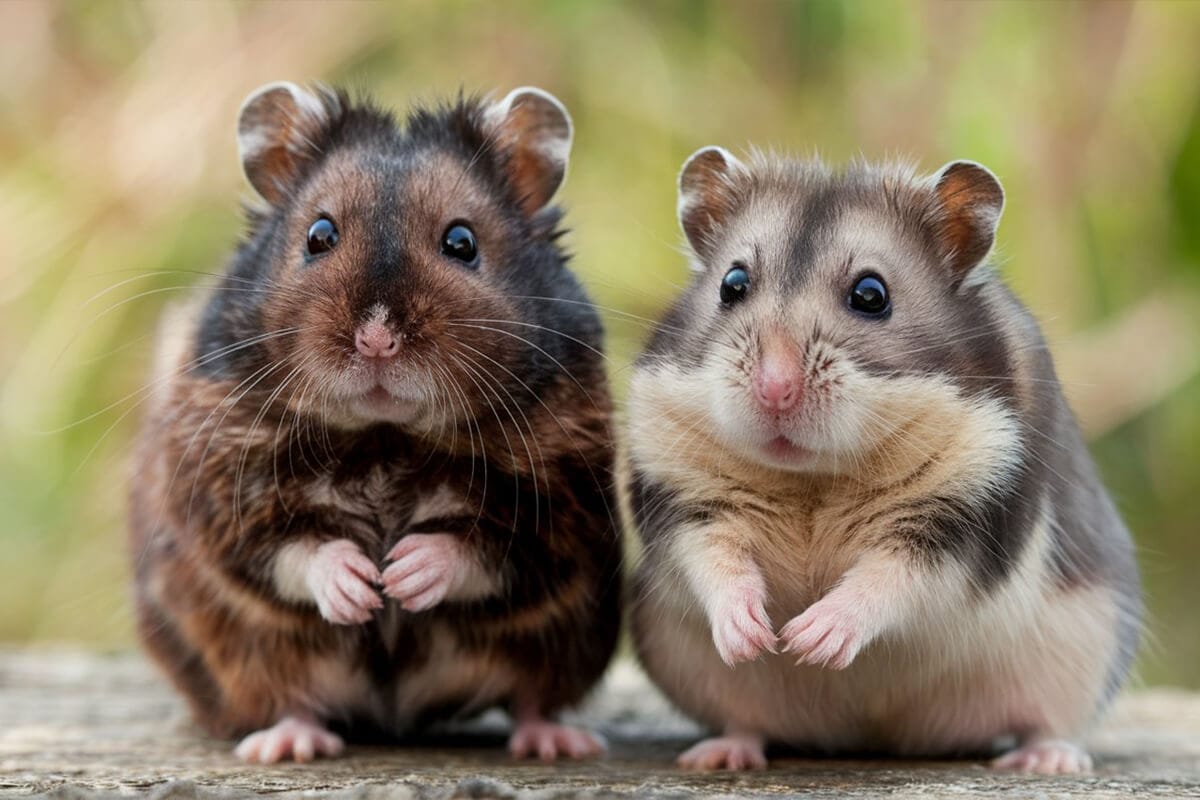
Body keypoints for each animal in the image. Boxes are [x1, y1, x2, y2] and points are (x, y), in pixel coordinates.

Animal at [127, 84, 624, 767]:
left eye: (462, 242)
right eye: (318, 234)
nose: (377, 339)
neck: (385, 437)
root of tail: (398, 717)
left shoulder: (561, 503)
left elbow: (486, 546)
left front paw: (403, 575)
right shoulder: (222, 487)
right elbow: (289, 546)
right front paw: (363, 587)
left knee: (530, 694)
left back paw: (556, 743)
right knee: (288, 693)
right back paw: (287, 745)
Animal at [628, 146, 1142, 772]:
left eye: (871, 295)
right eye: (732, 283)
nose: (774, 391)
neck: (814, 476)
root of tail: (881, 737)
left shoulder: (960, 518)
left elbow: (889, 579)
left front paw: (810, 640)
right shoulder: (686, 498)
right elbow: (715, 557)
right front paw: (754, 636)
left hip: (1091, 646)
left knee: (1049, 723)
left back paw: (1046, 761)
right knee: (745, 720)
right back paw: (719, 754)